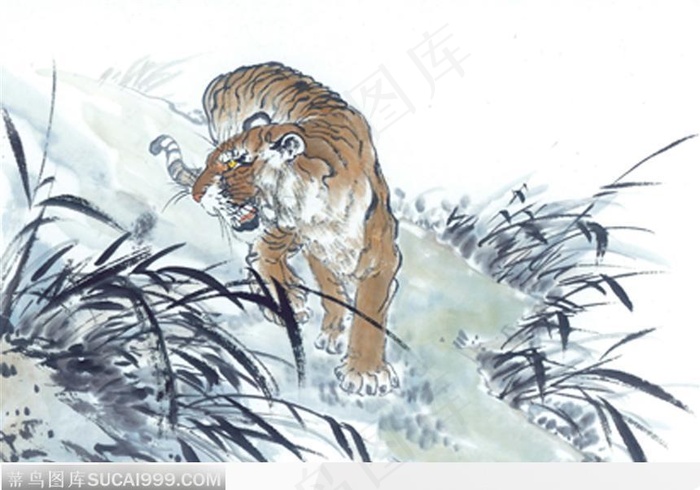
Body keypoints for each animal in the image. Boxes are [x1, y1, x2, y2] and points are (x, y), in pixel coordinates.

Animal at [152, 62, 401, 396]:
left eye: (233, 164)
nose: (195, 193)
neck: (317, 212)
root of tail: (233, 72)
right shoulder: (297, 240)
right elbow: (294, 272)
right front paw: (295, 306)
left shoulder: (380, 255)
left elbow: (369, 312)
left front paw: (364, 371)